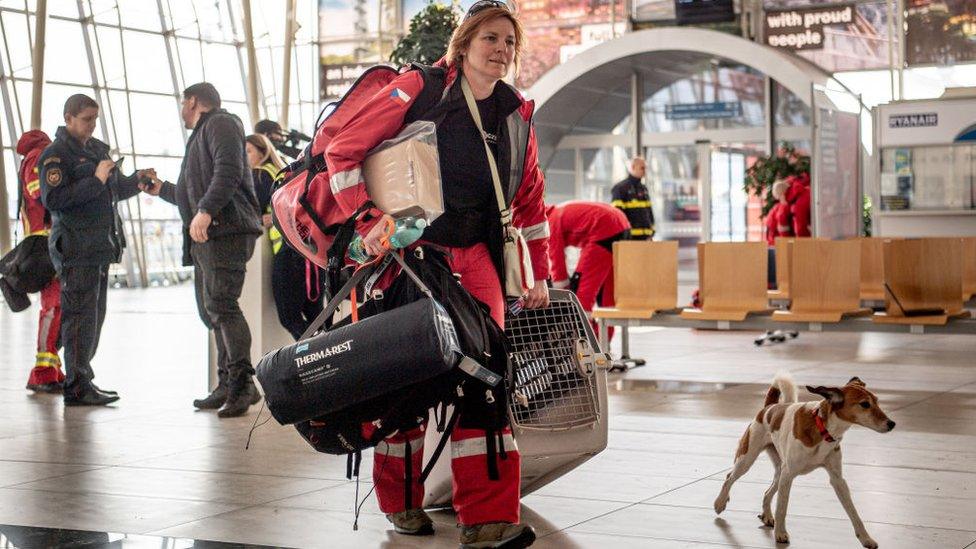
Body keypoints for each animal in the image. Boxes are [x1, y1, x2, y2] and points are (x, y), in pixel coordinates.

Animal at [712, 370, 896, 544]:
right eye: (865, 404)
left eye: (877, 401)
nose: (892, 423)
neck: (823, 428)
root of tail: (770, 407)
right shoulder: (788, 475)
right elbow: (782, 507)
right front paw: (780, 534)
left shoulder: (838, 480)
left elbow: (853, 512)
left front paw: (866, 539)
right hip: (747, 460)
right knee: (729, 477)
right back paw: (720, 502)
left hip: (779, 472)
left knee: (767, 492)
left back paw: (767, 516)